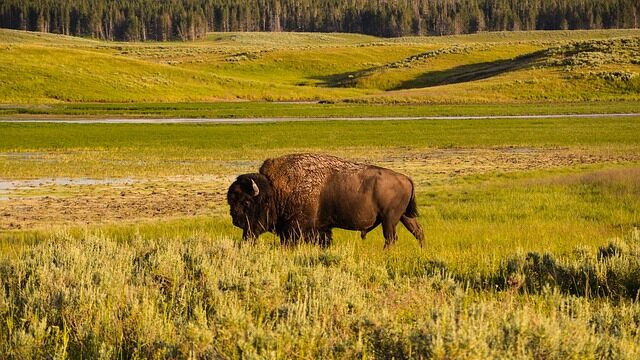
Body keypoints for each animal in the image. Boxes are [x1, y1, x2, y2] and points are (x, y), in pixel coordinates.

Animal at [226, 152, 424, 248]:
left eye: (246, 202)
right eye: (231, 201)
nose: (235, 220)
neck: (275, 190)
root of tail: (407, 179)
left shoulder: (295, 228)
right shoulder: (321, 229)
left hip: (389, 220)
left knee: (391, 238)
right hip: (404, 217)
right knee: (417, 232)